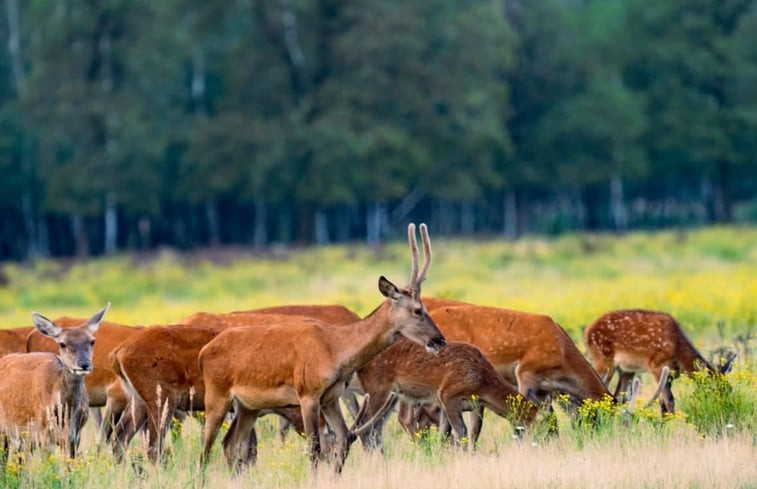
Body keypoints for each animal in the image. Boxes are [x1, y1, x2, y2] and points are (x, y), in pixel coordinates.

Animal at [199, 223, 448, 470]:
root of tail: (203, 352)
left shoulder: (330, 397)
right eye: (418, 310)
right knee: (206, 449)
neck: (336, 352)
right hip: (216, 395)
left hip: (248, 406)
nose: (440, 340)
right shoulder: (308, 393)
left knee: (228, 444)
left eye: (426, 307)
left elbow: (344, 438)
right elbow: (314, 449)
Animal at [352, 336, 536, 450]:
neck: (481, 382)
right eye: (532, 422)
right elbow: (461, 431)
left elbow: (449, 433)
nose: (536, 442)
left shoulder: (464, 405)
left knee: (378, 426)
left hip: (393, 396)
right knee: (366, 425)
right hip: (378, 389)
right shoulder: (448, 395)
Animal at [580, 308, 736, 412]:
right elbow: (669, 401)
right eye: (712, 390)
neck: (678, 349)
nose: (725, 408)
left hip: (626, 370)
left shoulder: (670, 373)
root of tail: (587, 332)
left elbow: (663, 403)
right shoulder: (656, 365)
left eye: (729, 389)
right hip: (603, 359)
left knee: (618, 396)